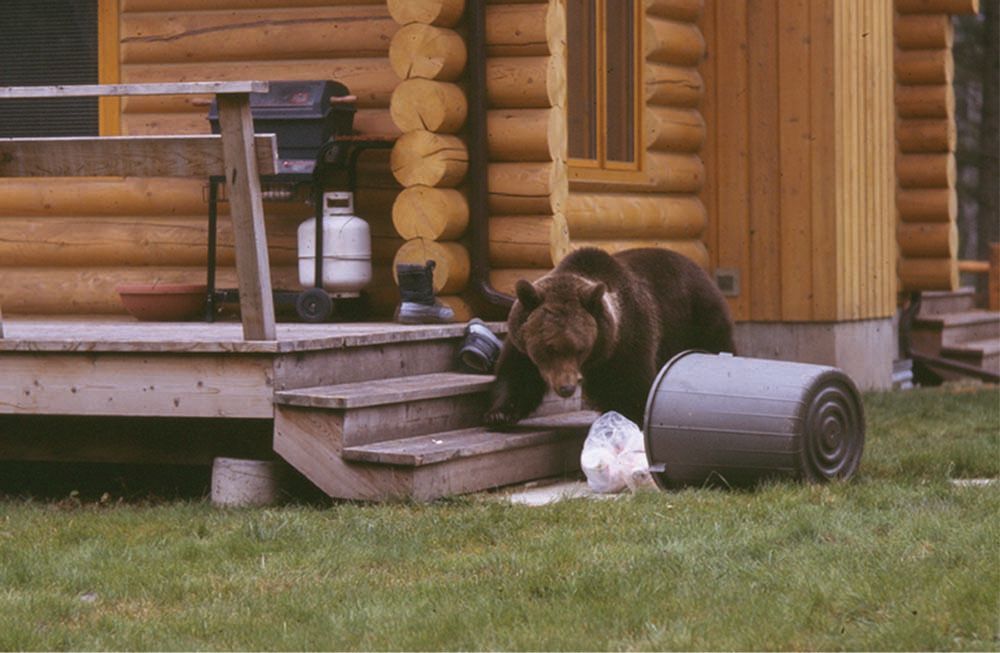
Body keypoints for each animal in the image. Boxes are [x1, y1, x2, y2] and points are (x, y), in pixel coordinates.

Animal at [484, 247, 735, 427]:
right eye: (549, 348)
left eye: (580, 348)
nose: (566, 388)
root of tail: (702, 271)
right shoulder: (522, 341)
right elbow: (516, 375)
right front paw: (499, 414)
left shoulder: (627, 341)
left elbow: (630, 387)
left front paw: (633, 419)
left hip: (699, 318)